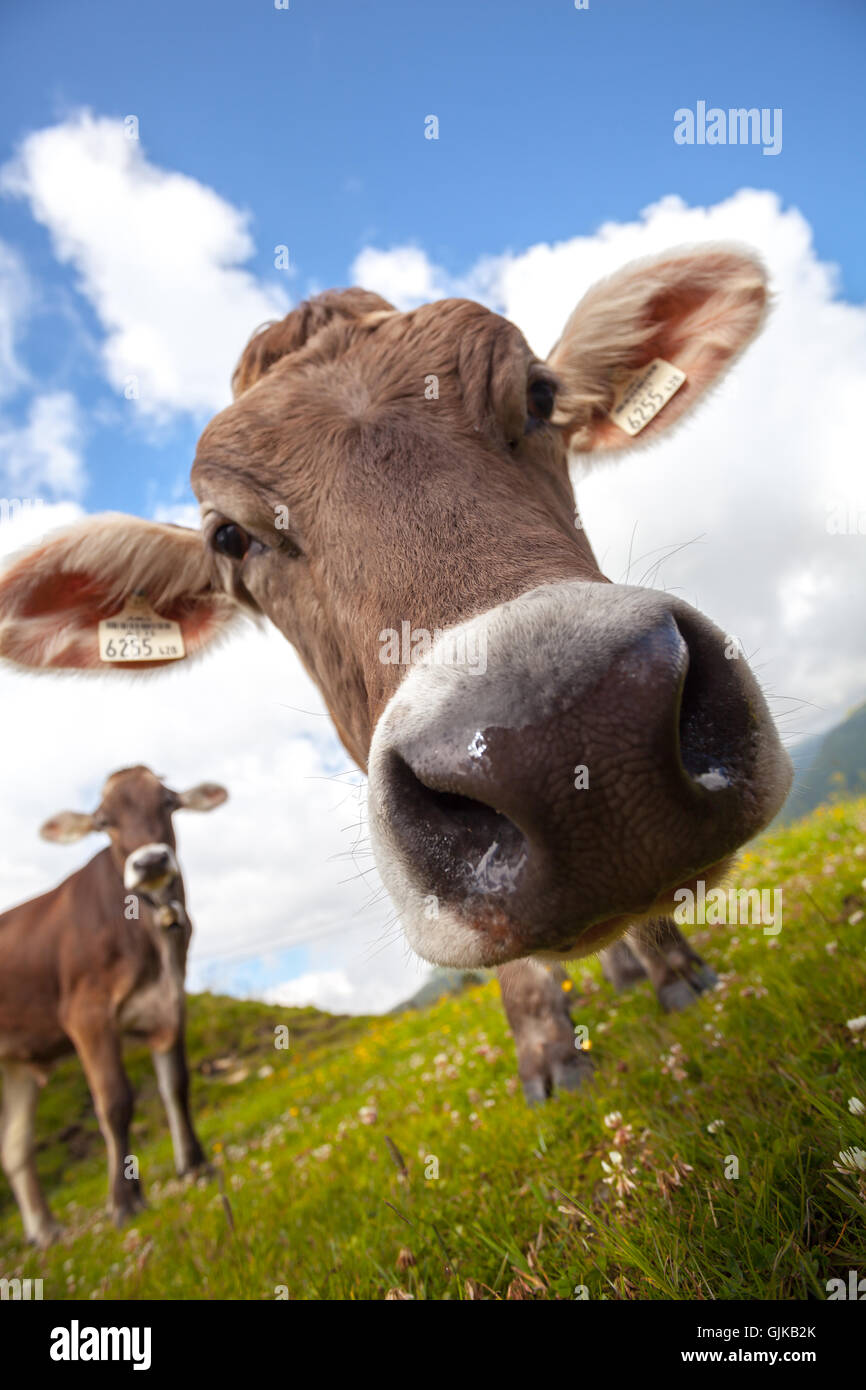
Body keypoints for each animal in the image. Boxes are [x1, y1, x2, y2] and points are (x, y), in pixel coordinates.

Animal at [0, 767, 226, 1246]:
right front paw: (125, 1202)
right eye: (103, 821)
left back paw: (46, 1230)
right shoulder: (87, 1016)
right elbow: (116, 1101)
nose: (151, 862)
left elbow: (176, 1085)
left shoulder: (172, 999)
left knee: (14, 1146)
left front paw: (195, 1165)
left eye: (169, 802)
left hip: (16, 1060)